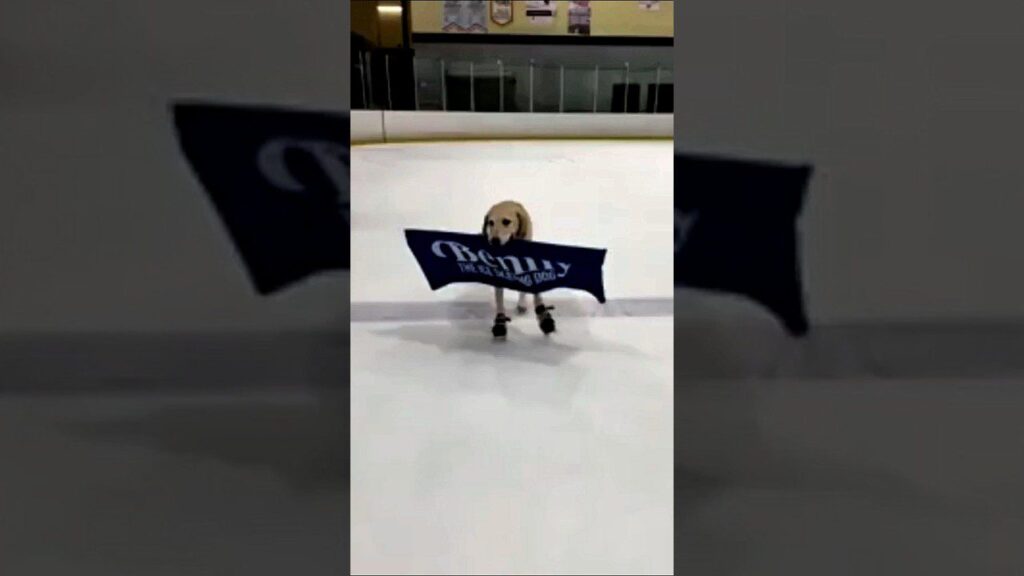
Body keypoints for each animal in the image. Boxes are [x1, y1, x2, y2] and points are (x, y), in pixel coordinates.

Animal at [481, 200, 557, 338]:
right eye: (491, 222)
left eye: (506, 221)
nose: (493, 241)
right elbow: (499, 300)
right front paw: (500, 322)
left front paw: (544, 318)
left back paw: (522, 304)